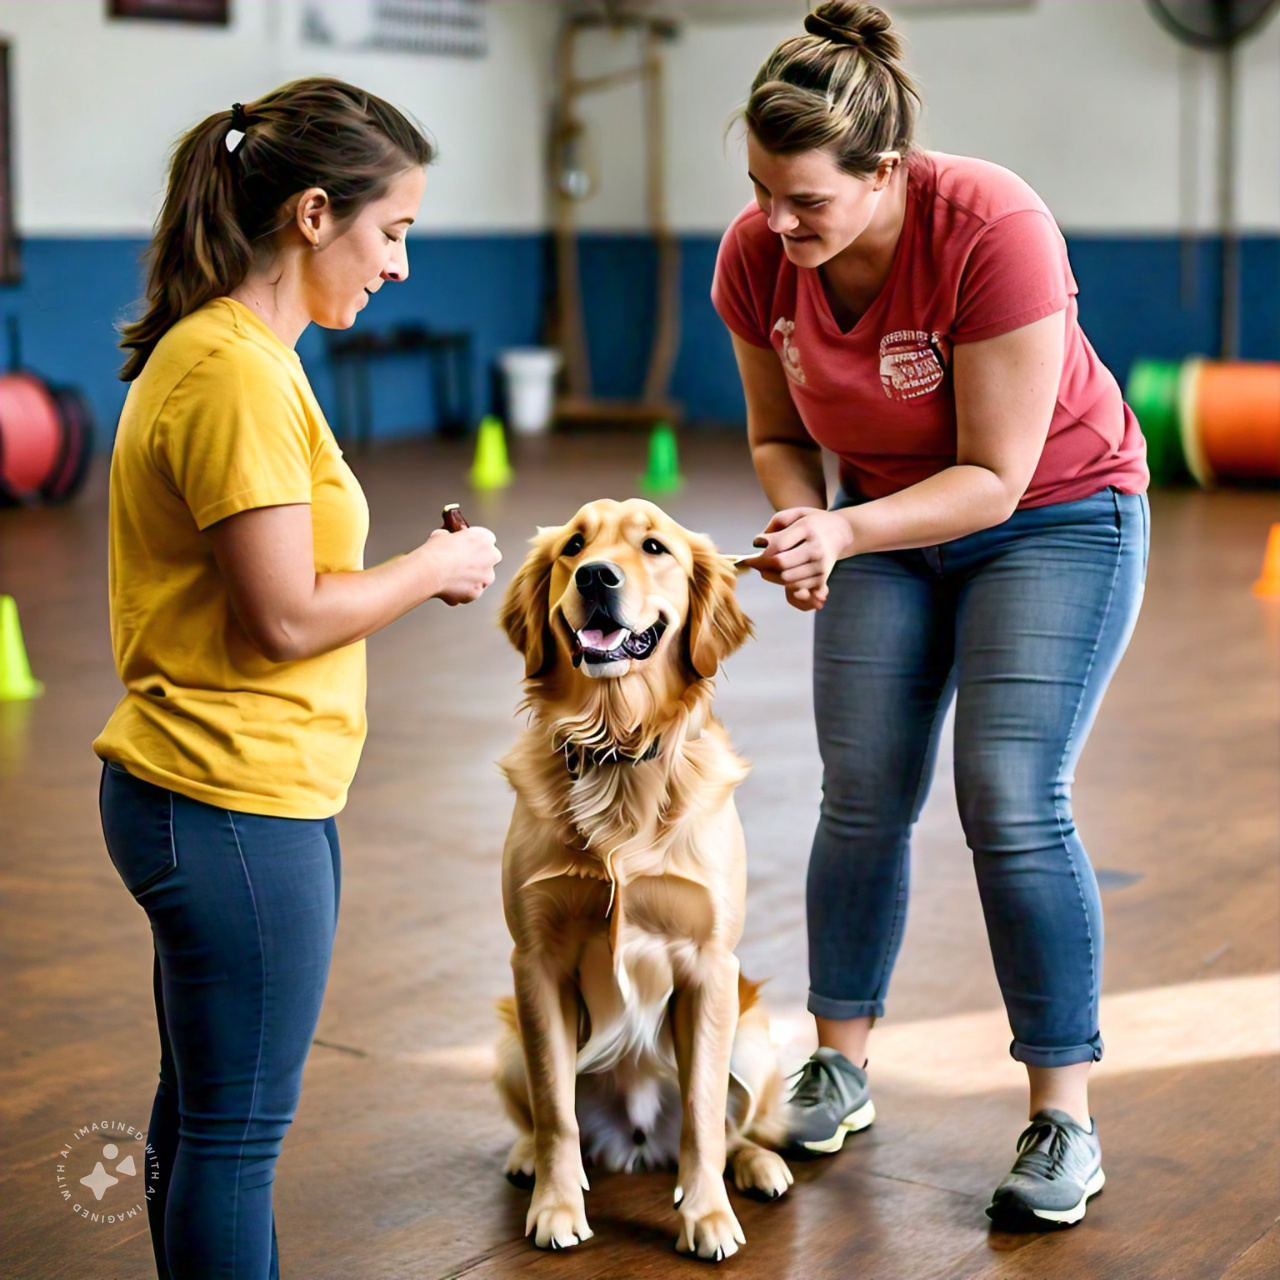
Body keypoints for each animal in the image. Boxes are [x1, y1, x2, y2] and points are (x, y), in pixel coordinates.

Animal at [491, 496, 783, 1259]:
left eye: (655, 547)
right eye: (572, 546)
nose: (596, 576)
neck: (618, 749)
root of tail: (635, 1143)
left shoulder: (710, 965)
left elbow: (705, 1114)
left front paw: (707, 1217)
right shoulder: (535, 962)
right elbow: (556, 1109)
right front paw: (557, 1206)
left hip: (753, 1038)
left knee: (736, 1127)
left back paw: (759, 1165)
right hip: (506, 1042)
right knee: (544, 1115)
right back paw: (528, 1159)